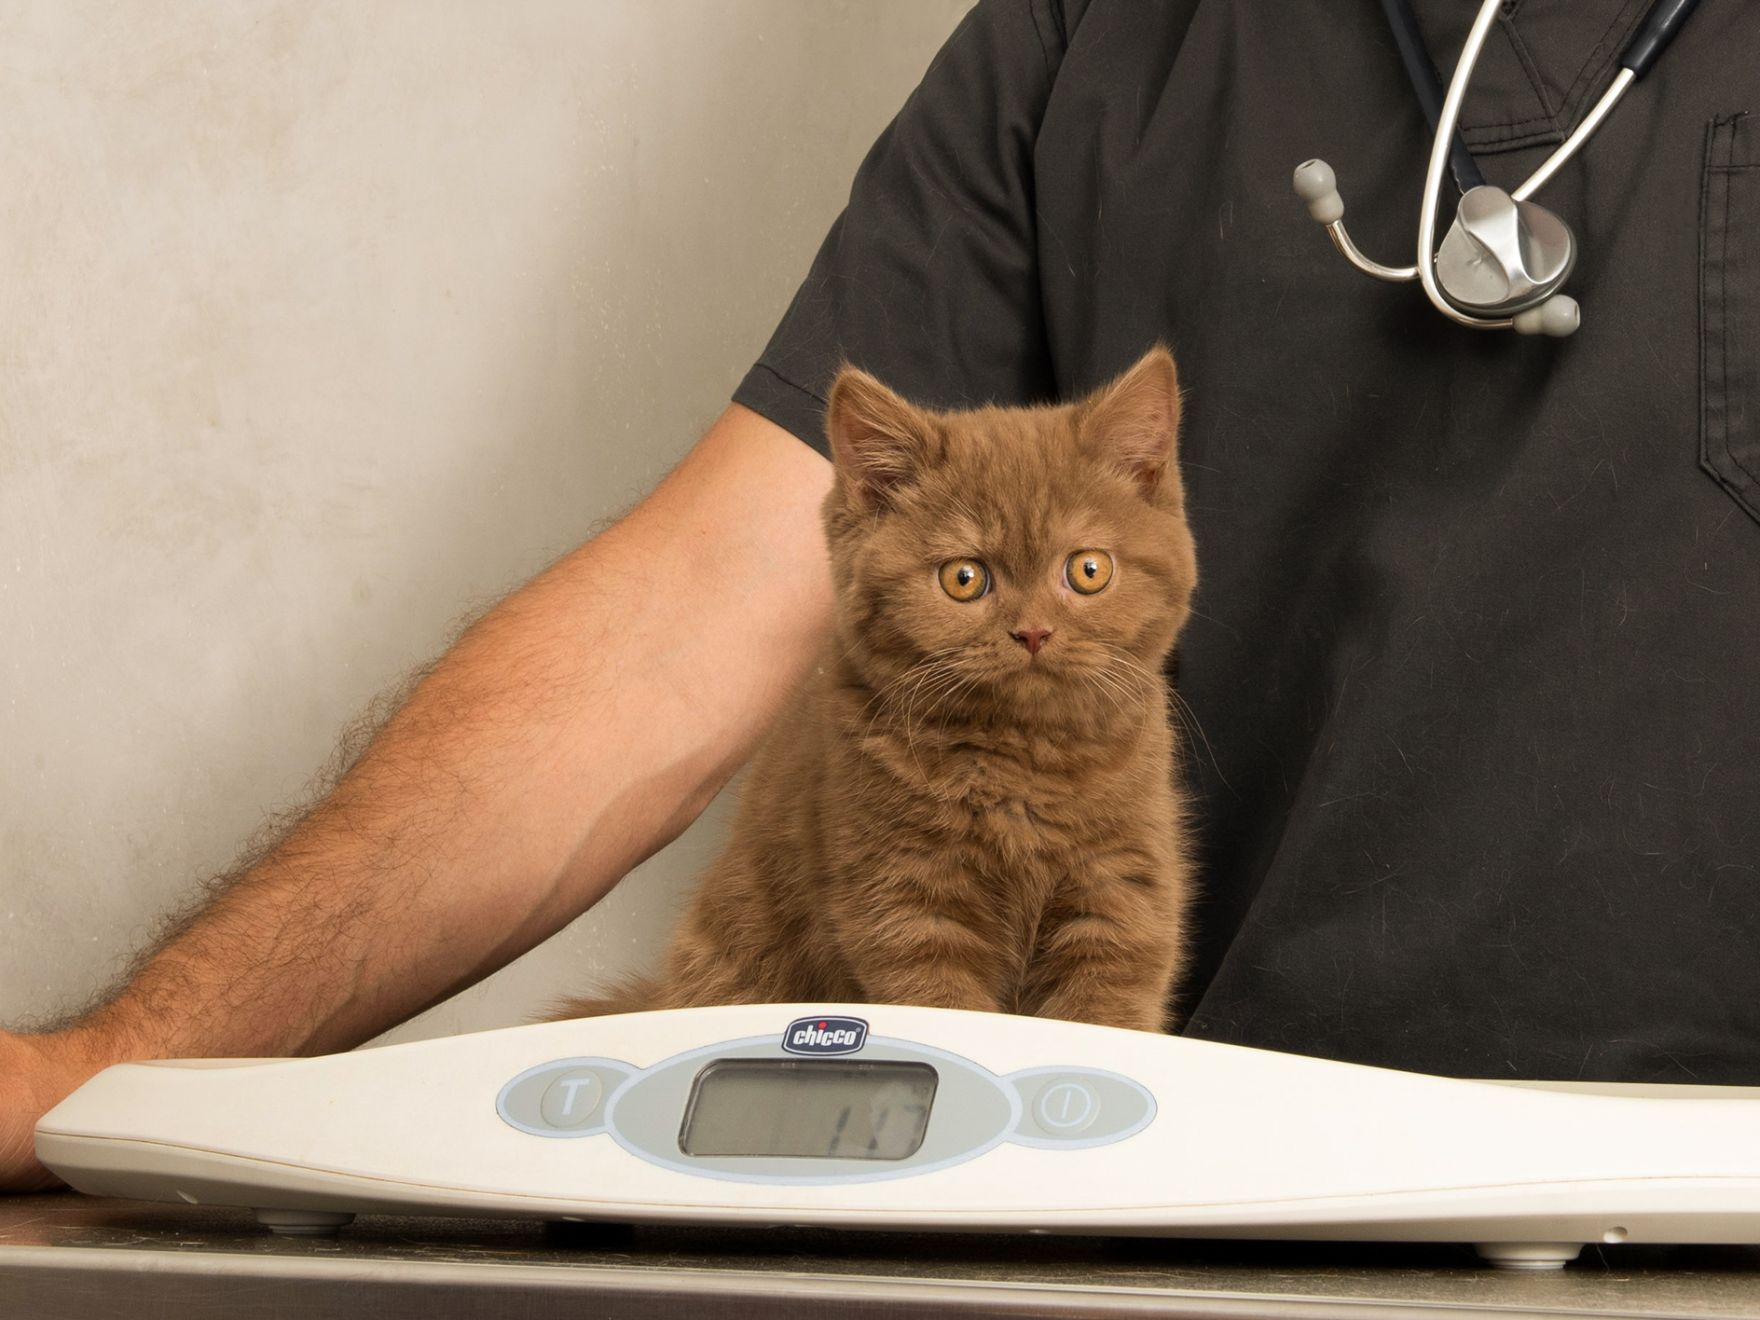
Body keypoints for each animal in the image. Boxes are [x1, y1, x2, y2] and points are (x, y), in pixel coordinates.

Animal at [556, 346, 1203, 1041]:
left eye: (1088, 570)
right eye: (964, 578)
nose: (1032, 631)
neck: (1020, 764)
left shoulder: (1120, 895)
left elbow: (1104, 1015)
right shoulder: (905, 905)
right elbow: (942, 1010)